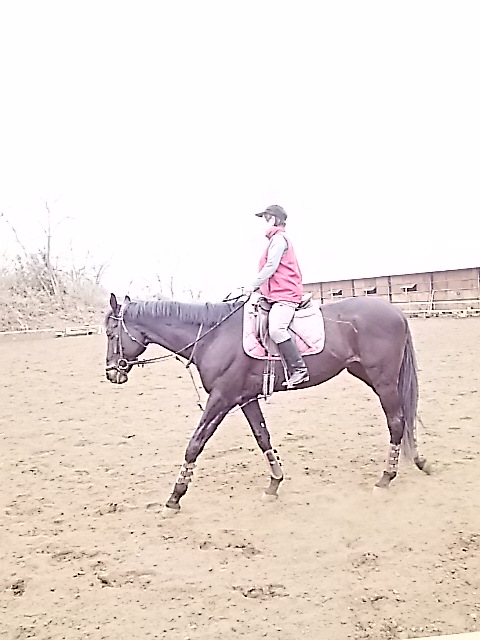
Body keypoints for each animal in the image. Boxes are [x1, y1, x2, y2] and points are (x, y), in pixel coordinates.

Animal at [105, 292, 431, 515]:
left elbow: (195, 444)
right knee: (403, 417)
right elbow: (263, 436)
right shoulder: (245, 399)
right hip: (368, 374)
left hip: (383, 379)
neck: (213, 335)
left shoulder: (221, 398)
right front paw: (275, 483)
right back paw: (418, 461)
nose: (111, 373)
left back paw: (386, 478)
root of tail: (396, 312)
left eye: (110, 333)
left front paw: (174, 497)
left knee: (397, 421)